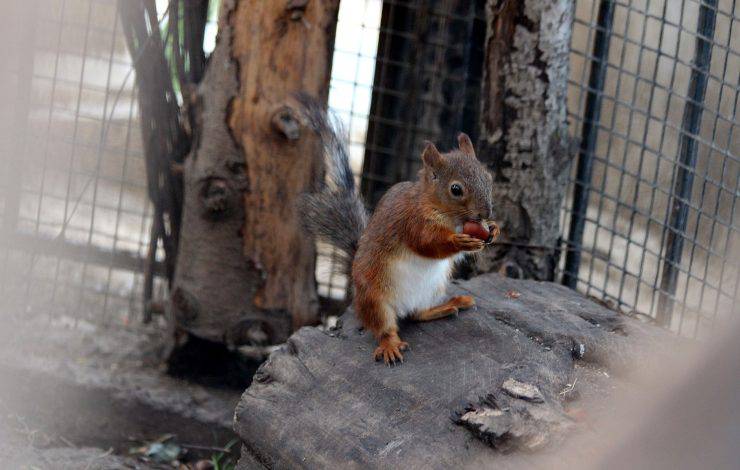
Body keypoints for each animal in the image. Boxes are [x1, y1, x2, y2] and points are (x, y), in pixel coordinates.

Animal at [298, 98, 497, 364]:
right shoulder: (411, 222)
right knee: (385, 327)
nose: (486, 212)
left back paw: (447, 305)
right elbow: (427, 244)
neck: (443, 212)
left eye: (488, 177)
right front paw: (459, 242)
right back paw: (390, 345)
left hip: (434, 288)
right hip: (375, 298)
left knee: (417, 314)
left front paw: (493, 230)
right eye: (456, 189)